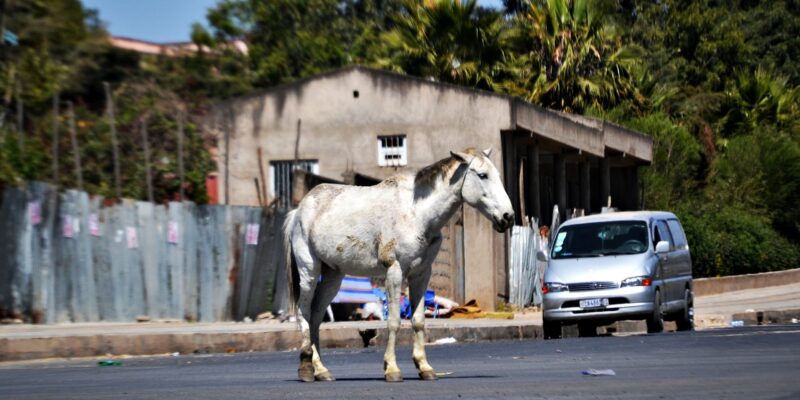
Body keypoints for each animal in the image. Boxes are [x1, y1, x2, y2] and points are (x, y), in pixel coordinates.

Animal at [283, 147, 514, 383]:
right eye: (482, 175)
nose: (508, 217)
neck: (416, 213)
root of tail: (298, 210)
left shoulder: (421, 274)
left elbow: (418, 320)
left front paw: (424, 366)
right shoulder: (394, 271)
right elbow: (393, 321)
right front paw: (392, 369)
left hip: (333, 276)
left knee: (316, 315)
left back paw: (321, 370)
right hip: (309, 271)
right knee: (304, 312)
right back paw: (306, 368)